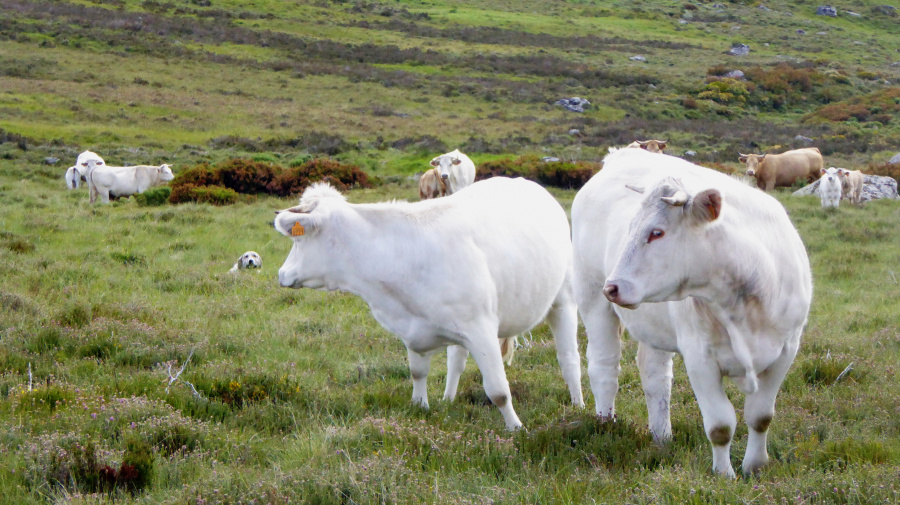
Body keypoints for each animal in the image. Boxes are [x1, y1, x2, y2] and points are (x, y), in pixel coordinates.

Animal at [274, 177, 584, 430]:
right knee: (456, 361)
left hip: (564, 300)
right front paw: (421, 405)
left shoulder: (482, 330)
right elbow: (418, 372)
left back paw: (578, 405)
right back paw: (448, 398)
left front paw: (516, 428)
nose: (281, 274)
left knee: (569, 358)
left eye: (298, 241)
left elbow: (498, 390)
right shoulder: (416, 328)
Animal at [572, 147, 812, 476]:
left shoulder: (786, 350)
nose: (614, 286)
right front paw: (724, 475)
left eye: (656, 232)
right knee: (604, 365)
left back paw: (661, 436)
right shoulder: (699, 357)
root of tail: (622, 154)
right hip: (591, 296)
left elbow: (760, 416)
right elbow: (720, 425)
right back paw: (606, 424)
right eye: (631, 228)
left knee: (655, 374)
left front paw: (755, 466)